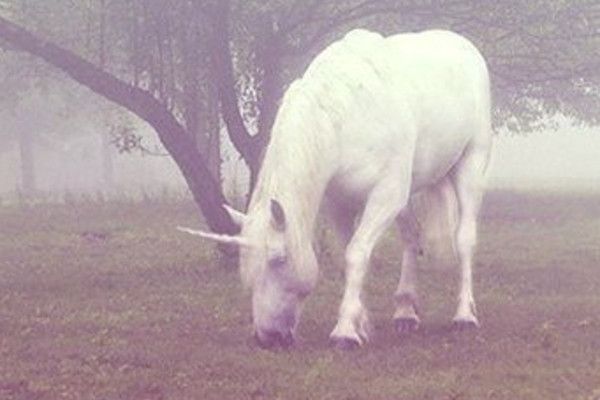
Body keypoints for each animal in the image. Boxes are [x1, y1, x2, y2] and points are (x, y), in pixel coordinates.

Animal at [180, 28, 494, 346]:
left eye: (278, 261)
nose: (267, 337)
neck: (341, 115)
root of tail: (463, 45)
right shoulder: (340, 204)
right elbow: (348, 257)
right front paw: (360, 323)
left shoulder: (385, 197)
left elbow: (356, 254)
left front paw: (345, 332)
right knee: (411, 235)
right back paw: (405, 312)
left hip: (470, 165)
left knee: (464, 238)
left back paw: (464, 315)